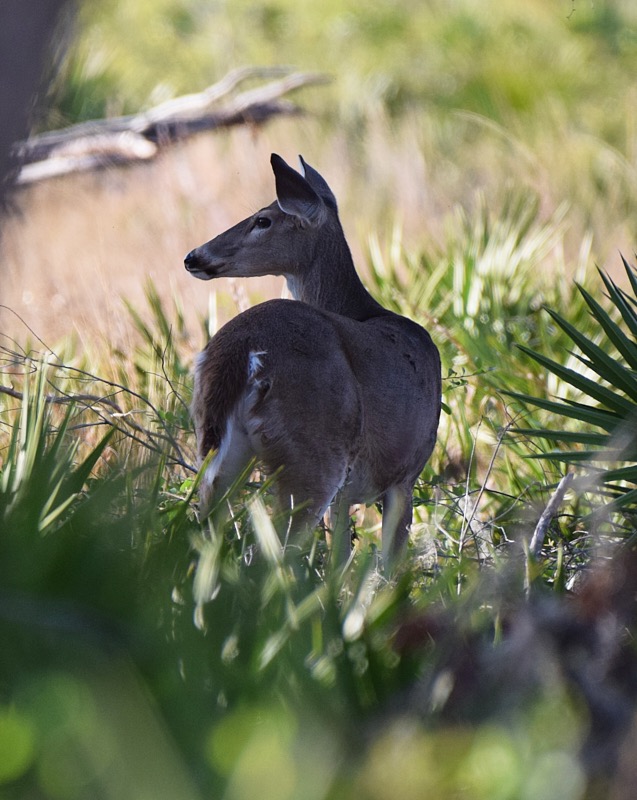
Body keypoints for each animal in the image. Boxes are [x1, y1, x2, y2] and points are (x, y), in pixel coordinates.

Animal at [186, 152, 440, 564]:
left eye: (263, 219)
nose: (192, 256)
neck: (365, 309)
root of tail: (243, 351)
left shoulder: (354, 492)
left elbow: (340, 556)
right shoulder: (406, 471)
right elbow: (387, 565)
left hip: (217, 450)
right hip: (312, 454)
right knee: (277, 548)